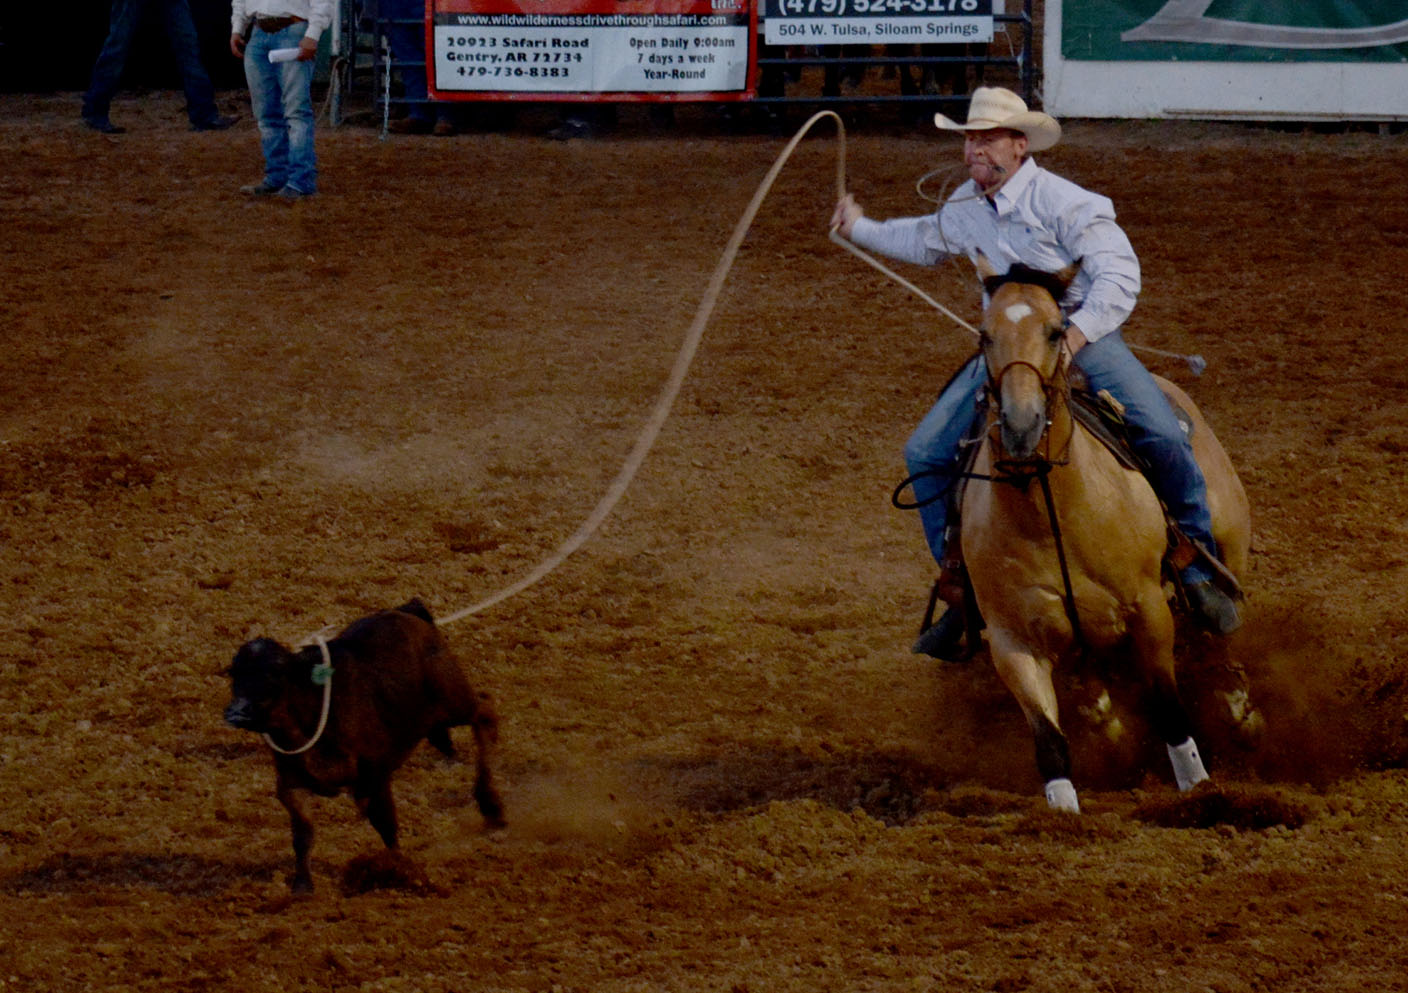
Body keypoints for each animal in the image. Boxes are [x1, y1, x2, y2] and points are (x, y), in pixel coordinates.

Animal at [963, 256, 1250, 811]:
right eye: (985, 335)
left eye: (1055, 331)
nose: (1021, 426)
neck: (1049, 509)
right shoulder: (1012, 640)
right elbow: (1050, 740)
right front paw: (1065, 812)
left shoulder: (1148, 608)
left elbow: (1168, 709)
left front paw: (1199, 789)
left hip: (1230, 548)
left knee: (1222, 626)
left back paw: (1238, 704)